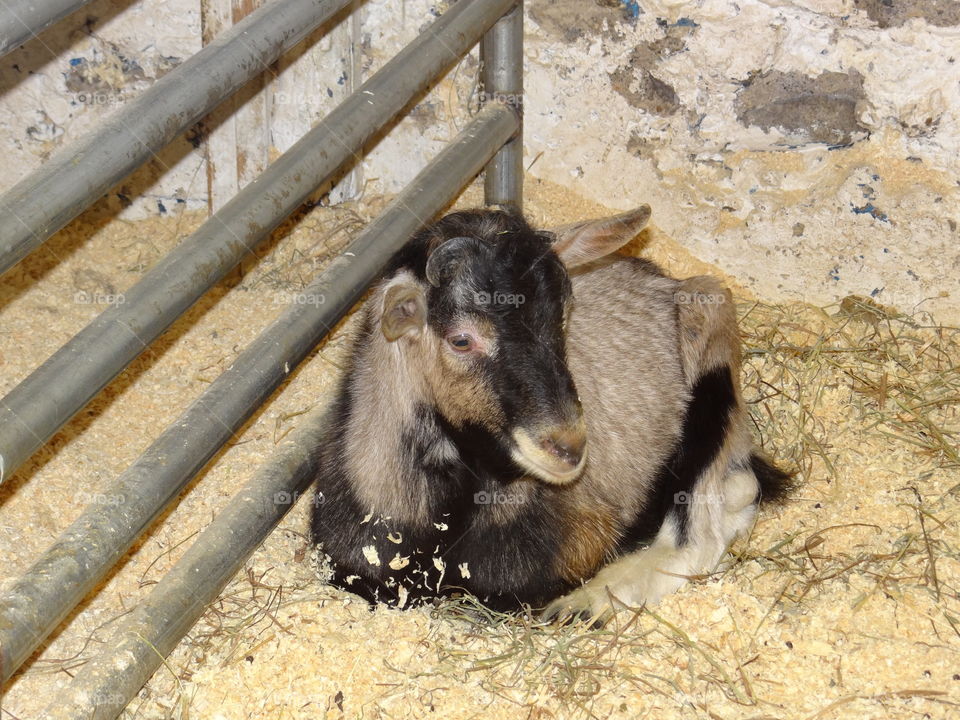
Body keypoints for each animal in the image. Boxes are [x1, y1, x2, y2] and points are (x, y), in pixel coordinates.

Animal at [310, 206, 791, 621]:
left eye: (561, 317)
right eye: (461, 339)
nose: (569, 447)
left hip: (711, 345)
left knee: (713, 517)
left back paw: (585, 604)